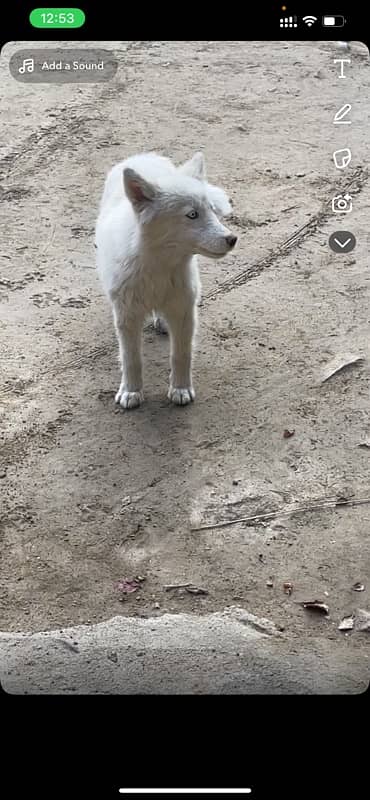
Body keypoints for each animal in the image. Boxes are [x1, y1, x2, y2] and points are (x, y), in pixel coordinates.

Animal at [94, 153, 236, 410]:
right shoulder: (127, 316)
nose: (232, 239)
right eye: (192, 214)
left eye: (211, 210)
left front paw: (180, 389)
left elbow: (181, 355)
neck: (159, 267)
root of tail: (143, 155)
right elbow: (131, 359)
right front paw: (131, 392)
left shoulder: (184, 312)